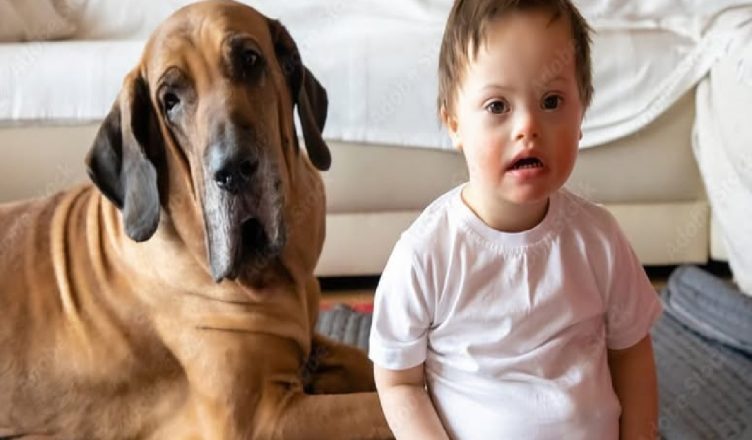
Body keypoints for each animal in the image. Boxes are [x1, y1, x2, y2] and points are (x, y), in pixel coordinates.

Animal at [0, 1, 392, 438]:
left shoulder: (313, 352)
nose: (233, 170)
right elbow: (377, 409)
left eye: (250, 61)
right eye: (169, 100)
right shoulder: (263, 418)